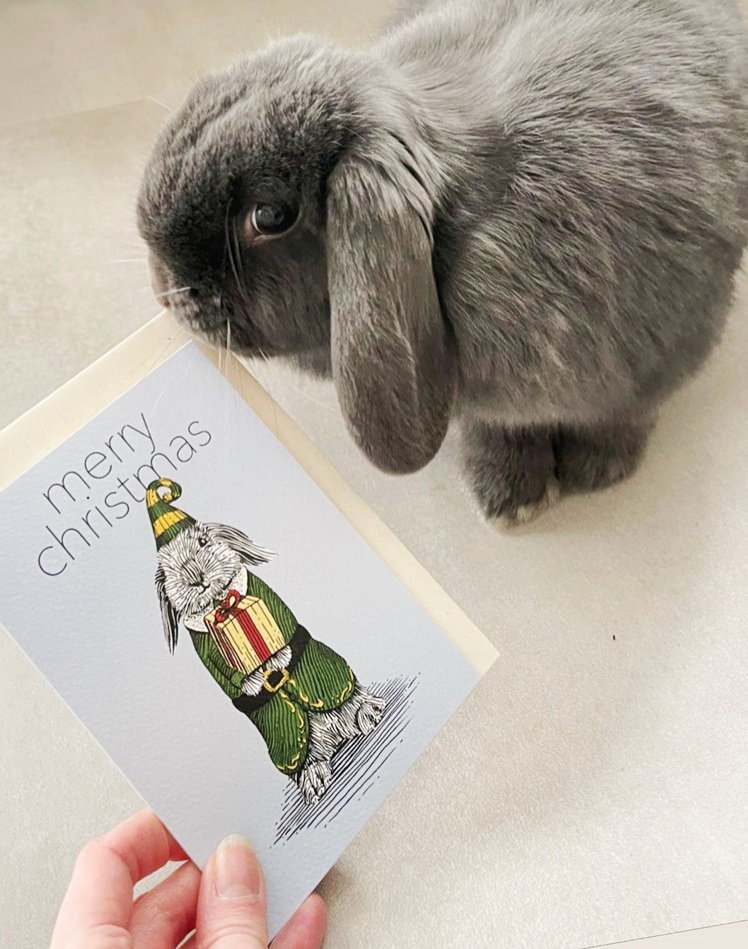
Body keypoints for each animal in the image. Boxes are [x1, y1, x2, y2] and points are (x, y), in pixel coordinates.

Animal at [137, 0, 748, 524]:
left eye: (268, 216)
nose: (167, 290)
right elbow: (496, 429)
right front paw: (510, 495)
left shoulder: (659, 359)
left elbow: (622, 416)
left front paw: (595, 471)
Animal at [153, 513, 385, 804]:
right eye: (167, 571)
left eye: (203, 542)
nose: (195, 578)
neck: (222, 605)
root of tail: (334, 736)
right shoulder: (205, 650)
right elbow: (224, 671)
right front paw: (255, 681)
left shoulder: (269, 600)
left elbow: (283, 624)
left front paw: (278, 660)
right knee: (306, 758)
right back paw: (314, 781)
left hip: (340, 686)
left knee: (351, 702)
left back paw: (369, 713)